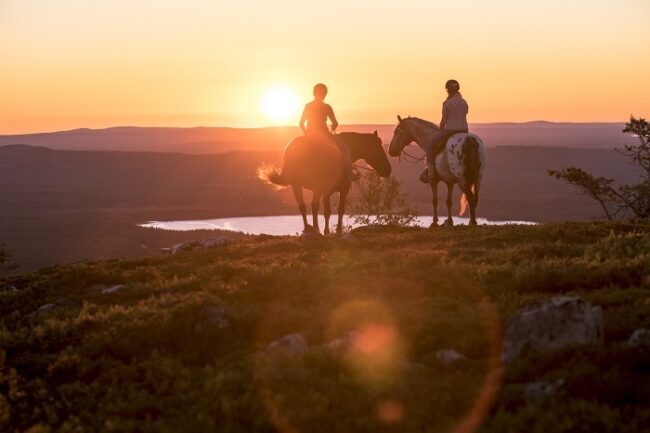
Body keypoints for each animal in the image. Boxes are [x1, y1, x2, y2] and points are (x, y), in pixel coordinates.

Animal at [258, 131, 390, 233]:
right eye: (377, 147)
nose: (388, 169)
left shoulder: (328, 191)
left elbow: (330, 210)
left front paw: (329, 230)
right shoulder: (339, 190)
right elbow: (333, 210)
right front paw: (333, 231)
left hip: (298, 185)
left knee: (304, 206)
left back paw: (309, 228)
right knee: (313, 206)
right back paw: (315, 228)